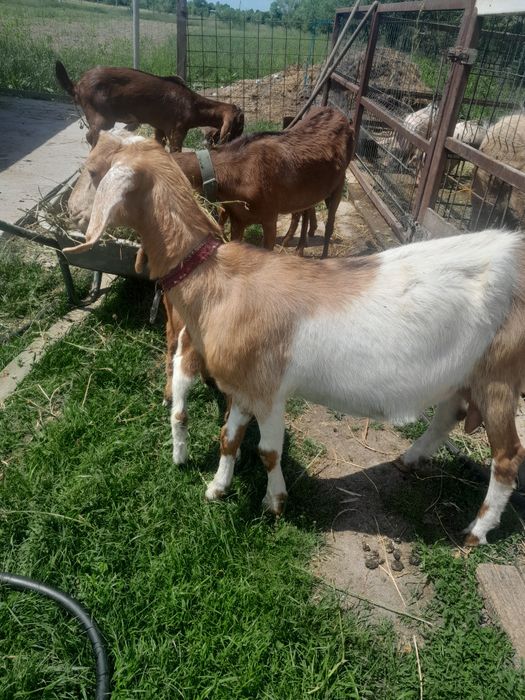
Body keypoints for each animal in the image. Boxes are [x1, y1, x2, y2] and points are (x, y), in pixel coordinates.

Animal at [55, 61, 244, 151]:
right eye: (239, 126)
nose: (237, 143)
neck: (193, 105)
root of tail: (77, 86)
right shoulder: (177, 131)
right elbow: (176, 150)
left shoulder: (159, 128)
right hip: (102, 116)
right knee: (91, 136)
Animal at [64, 135, 525, 546]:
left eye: (93, 171)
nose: (70, 214)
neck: (218, 282)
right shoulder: (242, 387)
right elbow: (229, 437)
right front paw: (217, 487)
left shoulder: (268, 392)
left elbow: (268, 451)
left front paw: (275, 503)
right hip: (464, 374)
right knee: (448, 415)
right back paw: (410, 459)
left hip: (500, 378)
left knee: (507, 459)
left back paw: (477, 531)